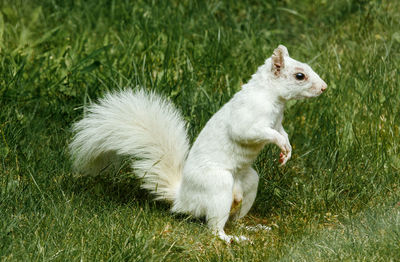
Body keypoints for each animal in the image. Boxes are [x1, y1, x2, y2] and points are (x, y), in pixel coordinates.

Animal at [69, 45, 324, 244]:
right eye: (300, 76)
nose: (324, 88)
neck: (272, 98)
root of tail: (183, 199)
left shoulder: (277, 122)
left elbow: (283, 133)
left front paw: (287, 151)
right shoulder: (247, 119)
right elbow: (250, 132)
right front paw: (281, 145)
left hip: (249, 182)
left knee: (235, 218)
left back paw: (250, 228)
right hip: (218, 184)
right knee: (215, 228)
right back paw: (228, 238)